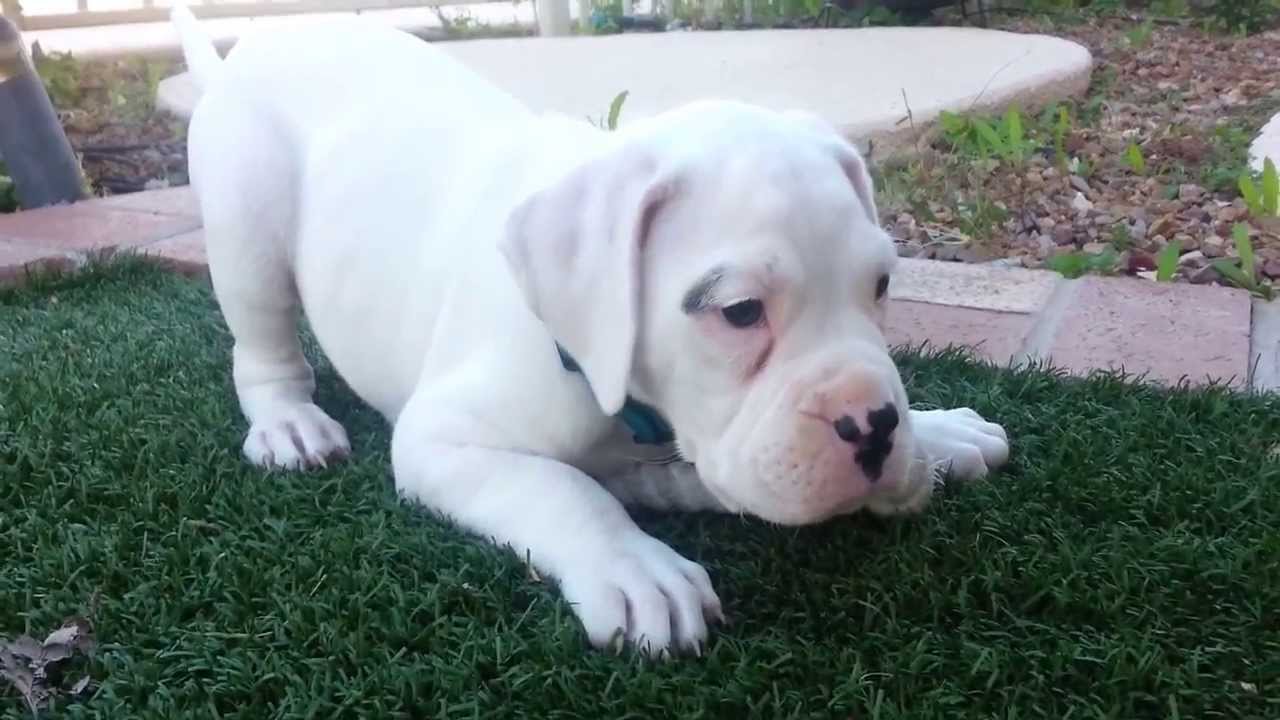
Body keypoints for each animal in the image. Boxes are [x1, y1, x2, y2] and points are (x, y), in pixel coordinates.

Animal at [172, 7, 1008, 655]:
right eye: (739, 311)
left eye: (882, 286)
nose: (876, 424)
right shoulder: (443, 440)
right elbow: (560, 487)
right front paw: (634, 567)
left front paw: (937, 433)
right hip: (249, 232)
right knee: (265, 346)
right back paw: (289, 423)